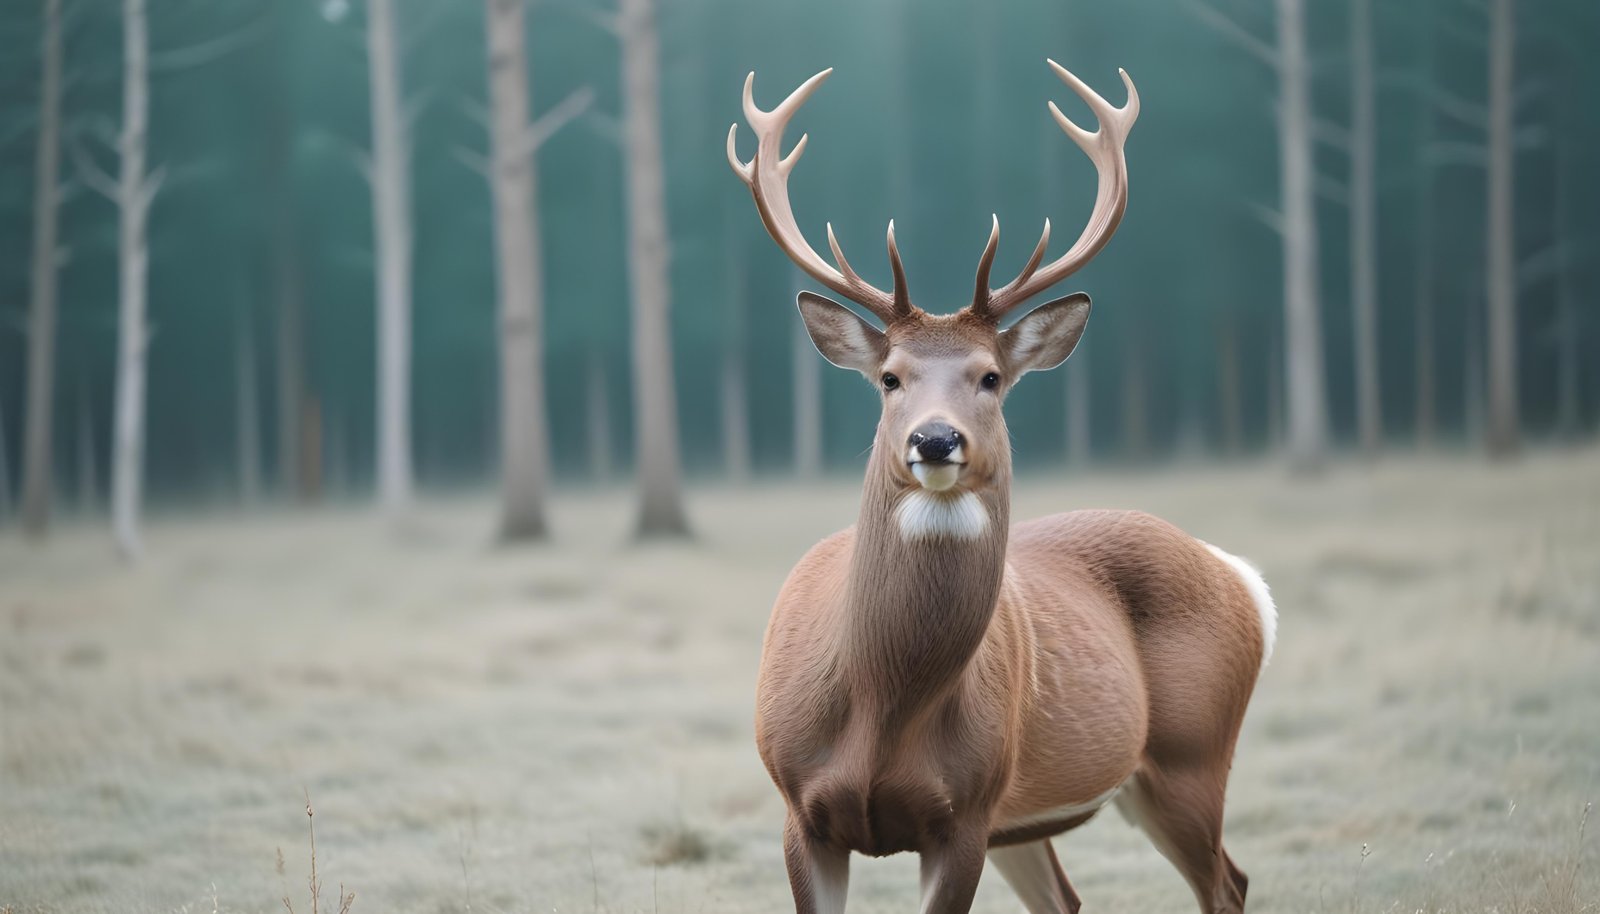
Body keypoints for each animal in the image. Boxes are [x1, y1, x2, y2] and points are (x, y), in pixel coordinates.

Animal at [726, 60, 1277, 914]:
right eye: (890, 378)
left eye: (990, 377)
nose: (935, 439)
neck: (878, 710)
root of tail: (1238, 575)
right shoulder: (799, 807)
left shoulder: (966, 813)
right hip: (1042, 816)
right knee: (1075, 898)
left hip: (1191, 755)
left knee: (1227, 880)